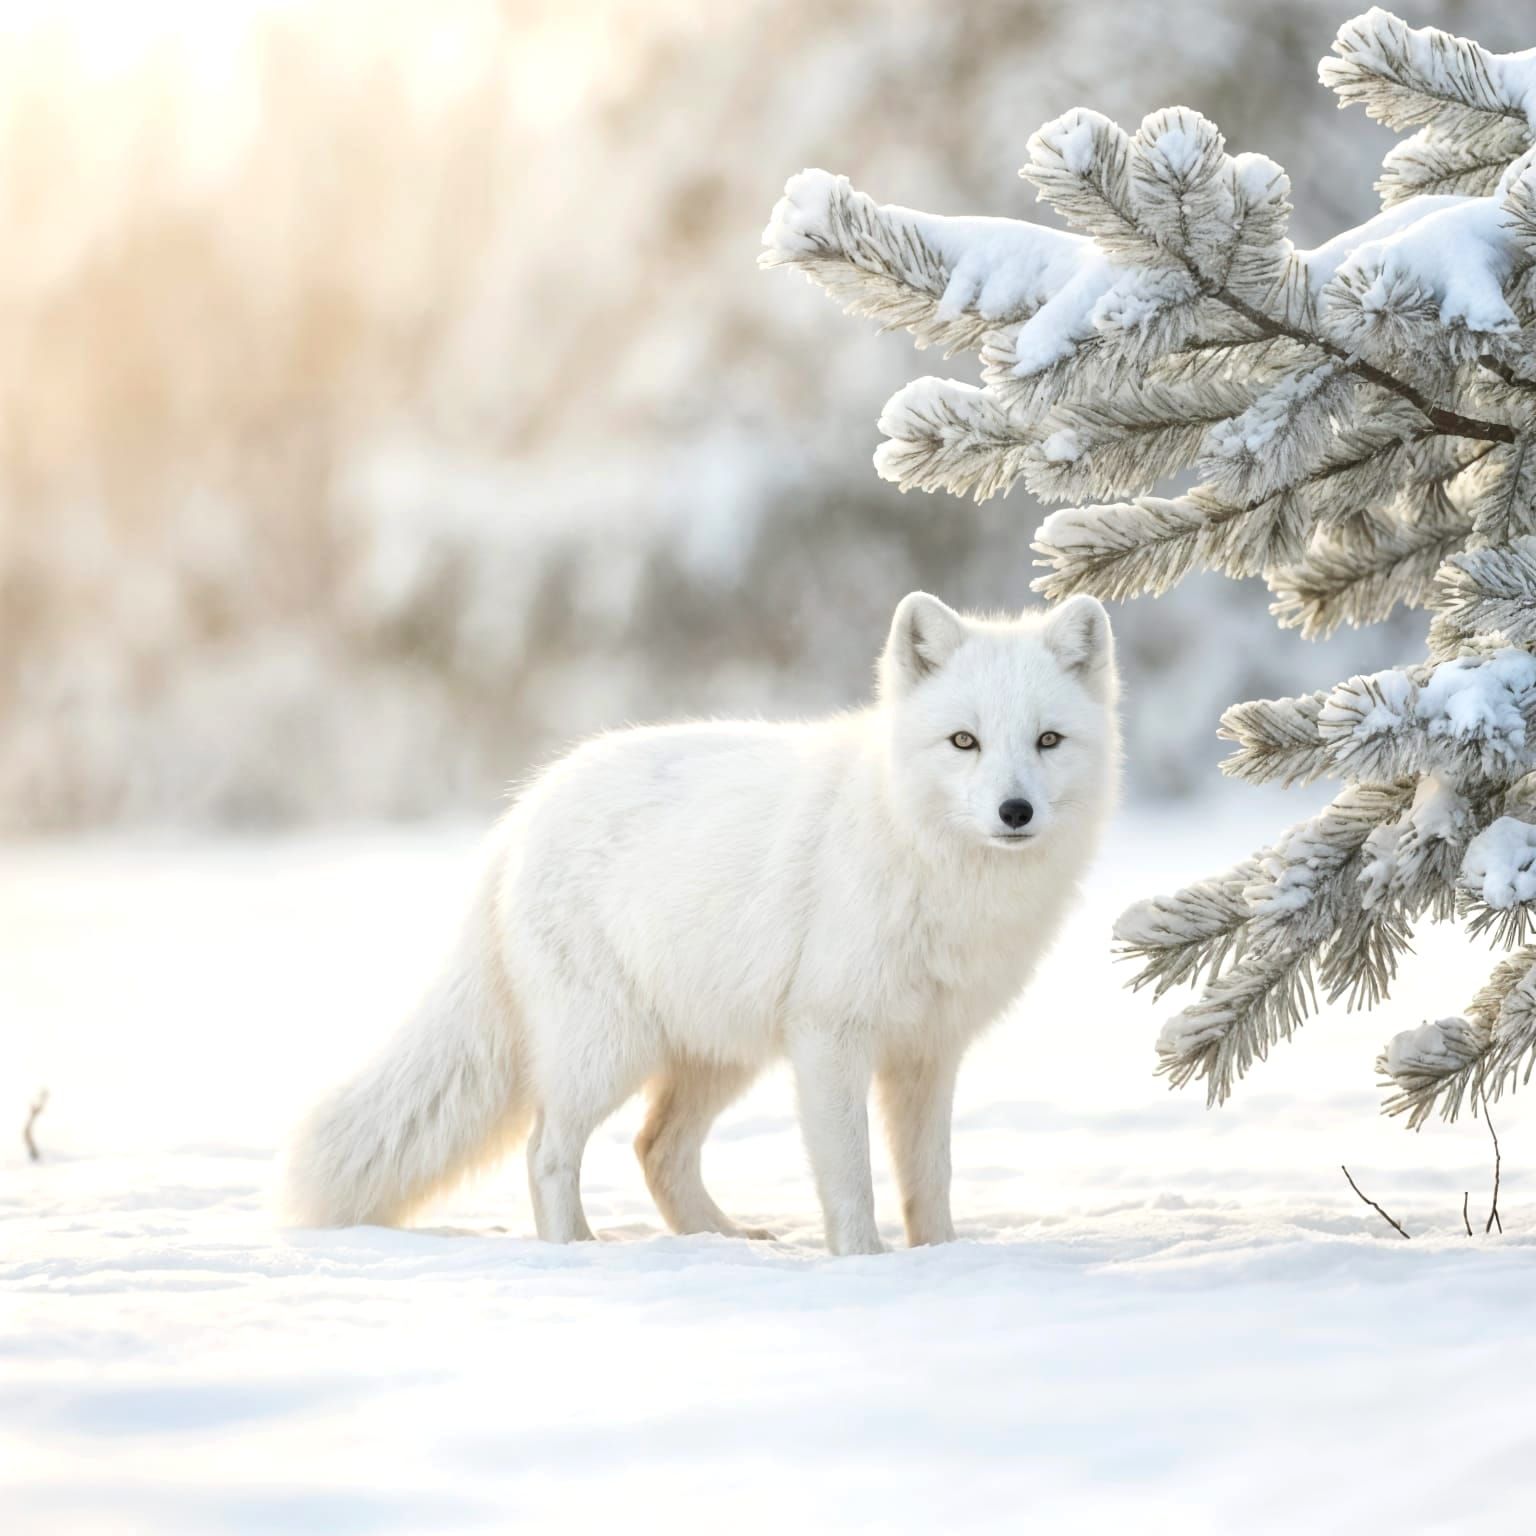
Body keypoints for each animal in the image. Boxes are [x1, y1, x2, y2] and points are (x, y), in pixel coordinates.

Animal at [283, 590, 1119, 1254]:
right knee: (548, 1149)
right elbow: (852, 1182)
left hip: (715, 1052)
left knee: (656, 1149)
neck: (923, 856)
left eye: (1048, 739)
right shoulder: (831, 1037)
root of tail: (519, 819)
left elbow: (930, 1181)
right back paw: (576, 1250)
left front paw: (942, 1262)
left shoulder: (928, 1052)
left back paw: (721, 1241)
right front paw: (864, 1266)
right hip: (608, 1051)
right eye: (964, 741)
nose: (1016, 812)